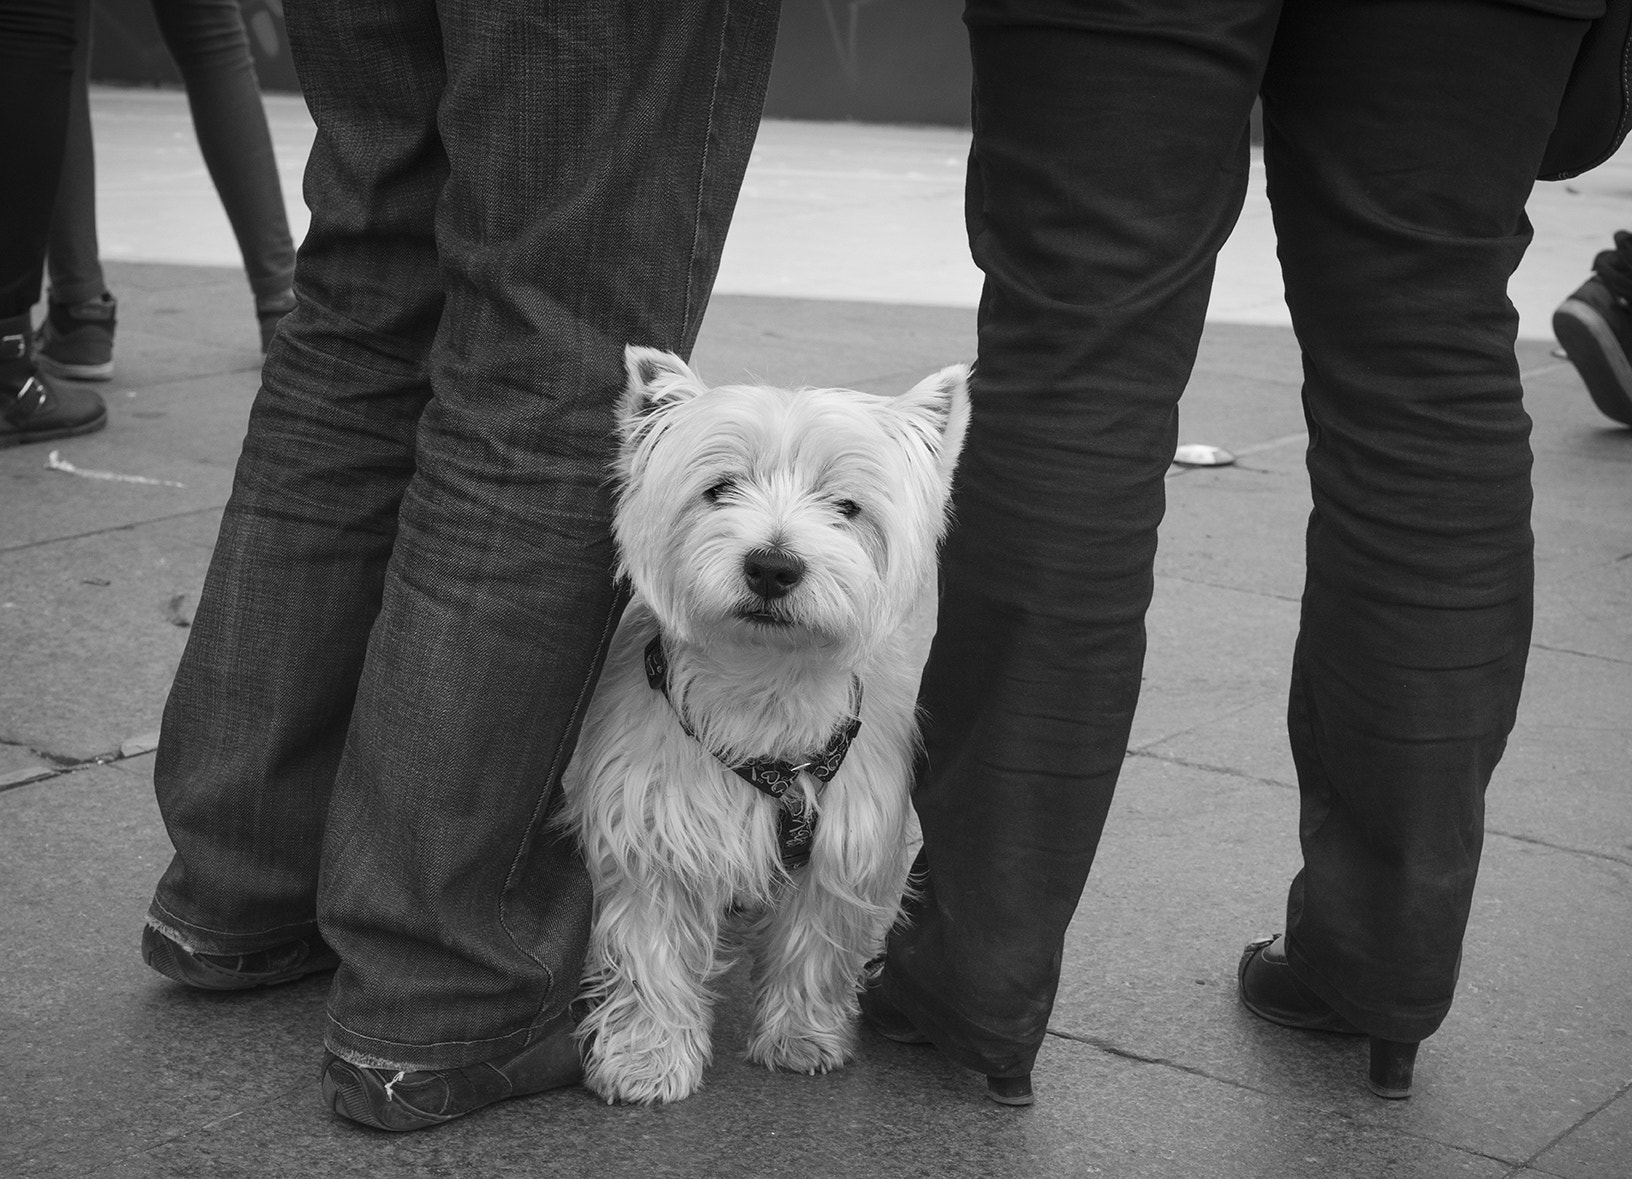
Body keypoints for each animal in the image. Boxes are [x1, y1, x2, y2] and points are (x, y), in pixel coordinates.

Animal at [561, 344, 966, 1097]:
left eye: (846, 506)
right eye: (720, 489)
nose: (773, 566)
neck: (764, 686)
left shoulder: (845, 841)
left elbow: (816, 942)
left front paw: (803, 1035)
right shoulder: (650, 831)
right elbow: (650, 949)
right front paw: (647, 1057)